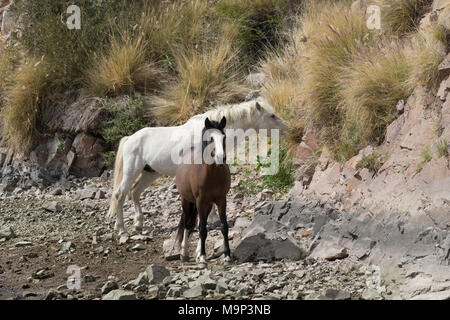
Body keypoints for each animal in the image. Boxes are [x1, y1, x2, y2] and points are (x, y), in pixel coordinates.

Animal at [107, 96, 286, 236]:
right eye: (271, 115)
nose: (286, 128)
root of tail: (130, 139)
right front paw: (212, 219)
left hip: (150, 173)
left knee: (135, 192)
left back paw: (138, 224)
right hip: (132, 171)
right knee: (120, 195)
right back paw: (122, 229)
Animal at [175, 116, 232, 266]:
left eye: (224, 137)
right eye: (210, 138)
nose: (221, 158)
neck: (211, 174)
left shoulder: (221, 200)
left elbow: (223, 227)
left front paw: (227, 255)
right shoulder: (200, 201)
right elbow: (201, 229)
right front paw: (202, 258)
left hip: (208, 204)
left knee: (201, 222)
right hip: (187, 201)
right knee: (188, 223)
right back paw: (184, 253)